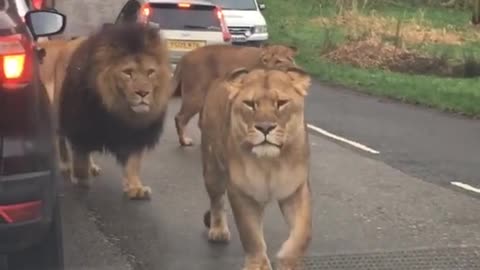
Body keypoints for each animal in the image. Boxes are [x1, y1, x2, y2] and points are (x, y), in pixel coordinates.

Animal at [57, 22, 172, 199]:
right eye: (128, 72)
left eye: (150, 72)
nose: (143, 93)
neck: (119, 110)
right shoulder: (80, 126)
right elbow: (80, 155)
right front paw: (81, 178)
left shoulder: (136, 134)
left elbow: (133, 162)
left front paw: (135, 187)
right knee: (62, 140)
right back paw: (65, 165)